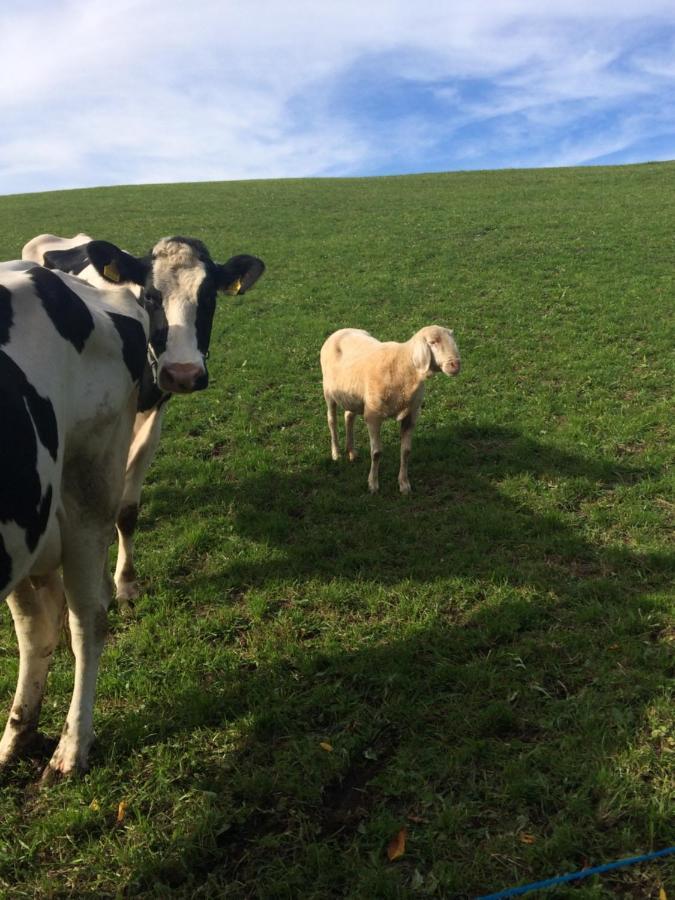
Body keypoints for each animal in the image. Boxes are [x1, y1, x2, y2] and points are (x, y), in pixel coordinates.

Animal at [21, 236, 264, 608]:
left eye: (209, 297)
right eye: (150, 295)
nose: (183, 374)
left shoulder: (154, 420)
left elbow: (127, 509)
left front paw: (126, 581)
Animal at [320, 324, 460, 492]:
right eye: (433, 342)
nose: (455, 365)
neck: (404, 366)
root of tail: (340, 330)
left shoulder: (411, 415)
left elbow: (406, 451)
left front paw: (404, 484)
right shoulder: (373, 416)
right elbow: (376, 453)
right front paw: (373, 484)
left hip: (353, 395)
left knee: (349, 416)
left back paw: (352, 452)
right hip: (328, 392)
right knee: (331, 421)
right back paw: (336, 453)